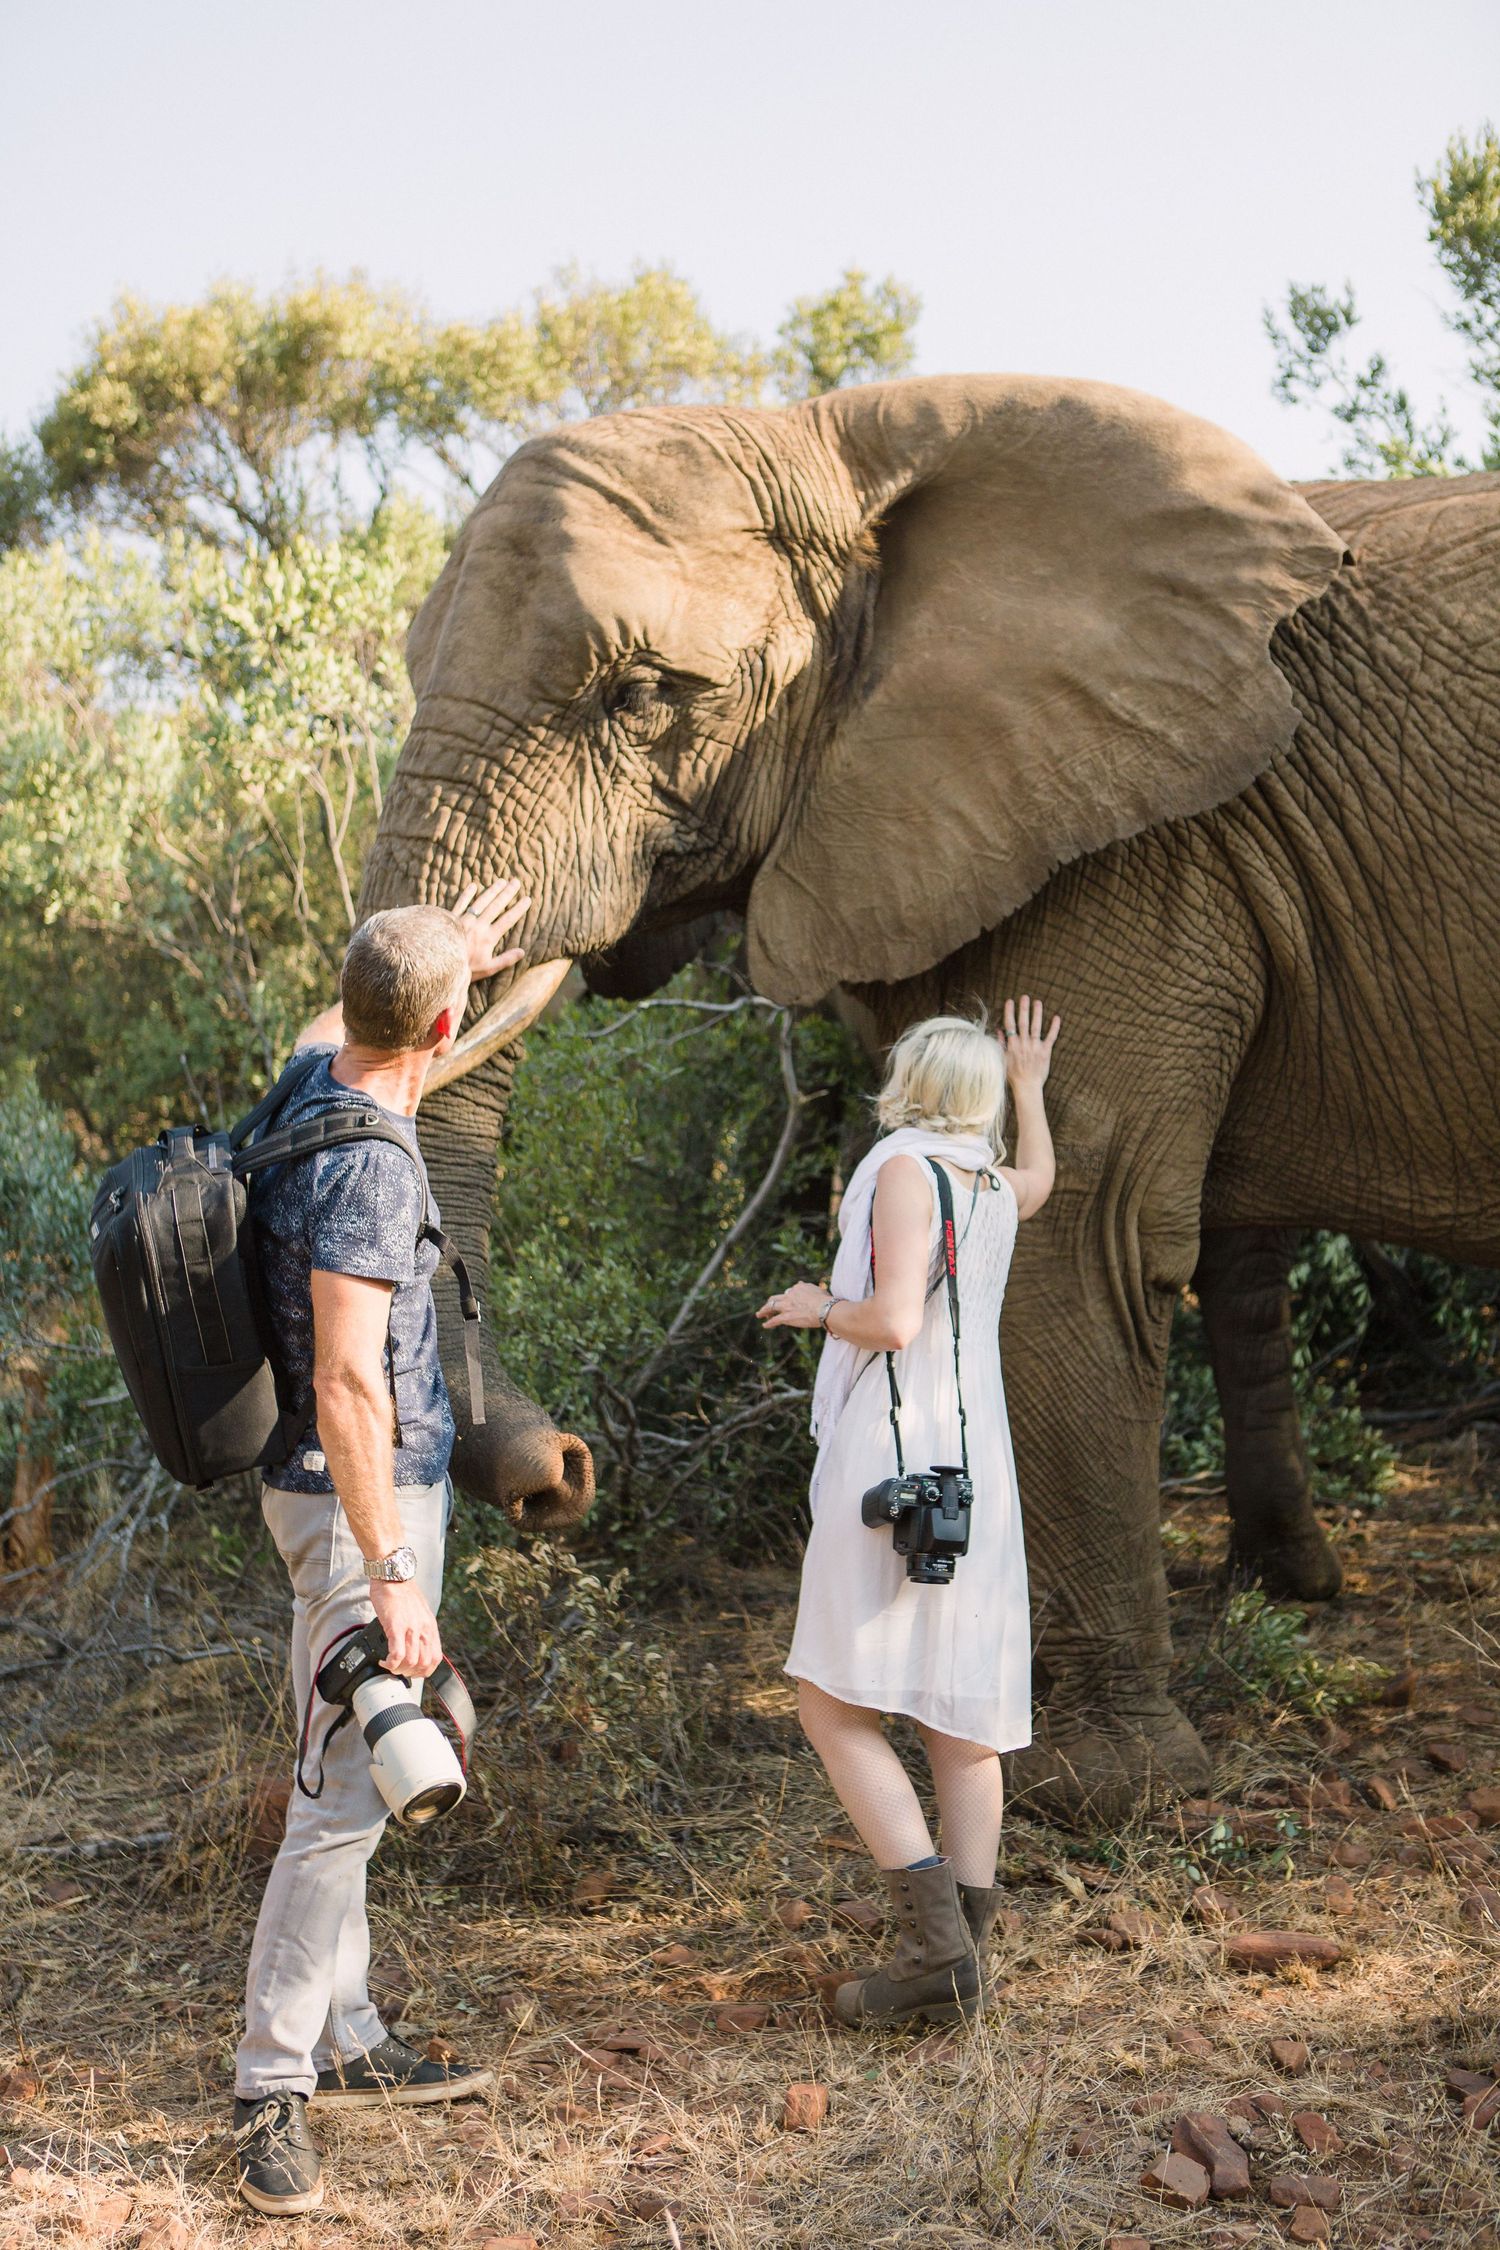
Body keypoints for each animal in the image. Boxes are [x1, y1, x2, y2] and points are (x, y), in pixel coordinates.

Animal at [357, 373, 1500, 1823]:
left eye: (639, 693)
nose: (564, 1474)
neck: (837, 442)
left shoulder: (1132, 845)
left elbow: (1078, 1237)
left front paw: (1101, 1791)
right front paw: (1272, 1602)